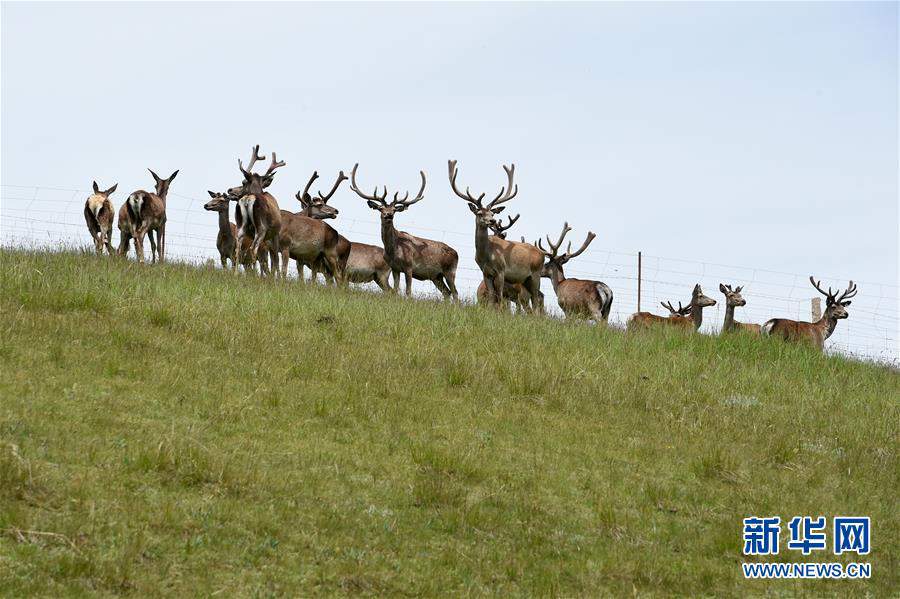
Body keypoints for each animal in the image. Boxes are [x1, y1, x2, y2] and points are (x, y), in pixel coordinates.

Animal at [224, 145, 284, 276]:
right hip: (262, 227)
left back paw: (236, 274)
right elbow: (275, 258)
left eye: (243, 182)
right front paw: (278, 278)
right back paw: (255, 276)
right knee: (253, 249)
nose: (229, 190)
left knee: (238, 249)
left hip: (241, 225)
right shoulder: (275, 233)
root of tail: (248, 199)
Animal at [350, 164, 459, 299]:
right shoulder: (394, 268)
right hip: (436, 276)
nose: (389, 215)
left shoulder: (409, 266)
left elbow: (408, 291)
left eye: (394, 210)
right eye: (381, 208)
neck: (393, 251)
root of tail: (457, 254)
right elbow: (396, 290)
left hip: (450, 271)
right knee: (447, 292)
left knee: (455, 293)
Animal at [448, 160, 544, 313]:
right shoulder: (486, 272)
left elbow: (499, 297)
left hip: (535, 274)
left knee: (535, 299)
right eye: (479, 213)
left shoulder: (501, 270)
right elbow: (492, 297)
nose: (492, 221)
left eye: (492, 213)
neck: (487, 256)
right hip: (525, 280)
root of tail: (542, 254)